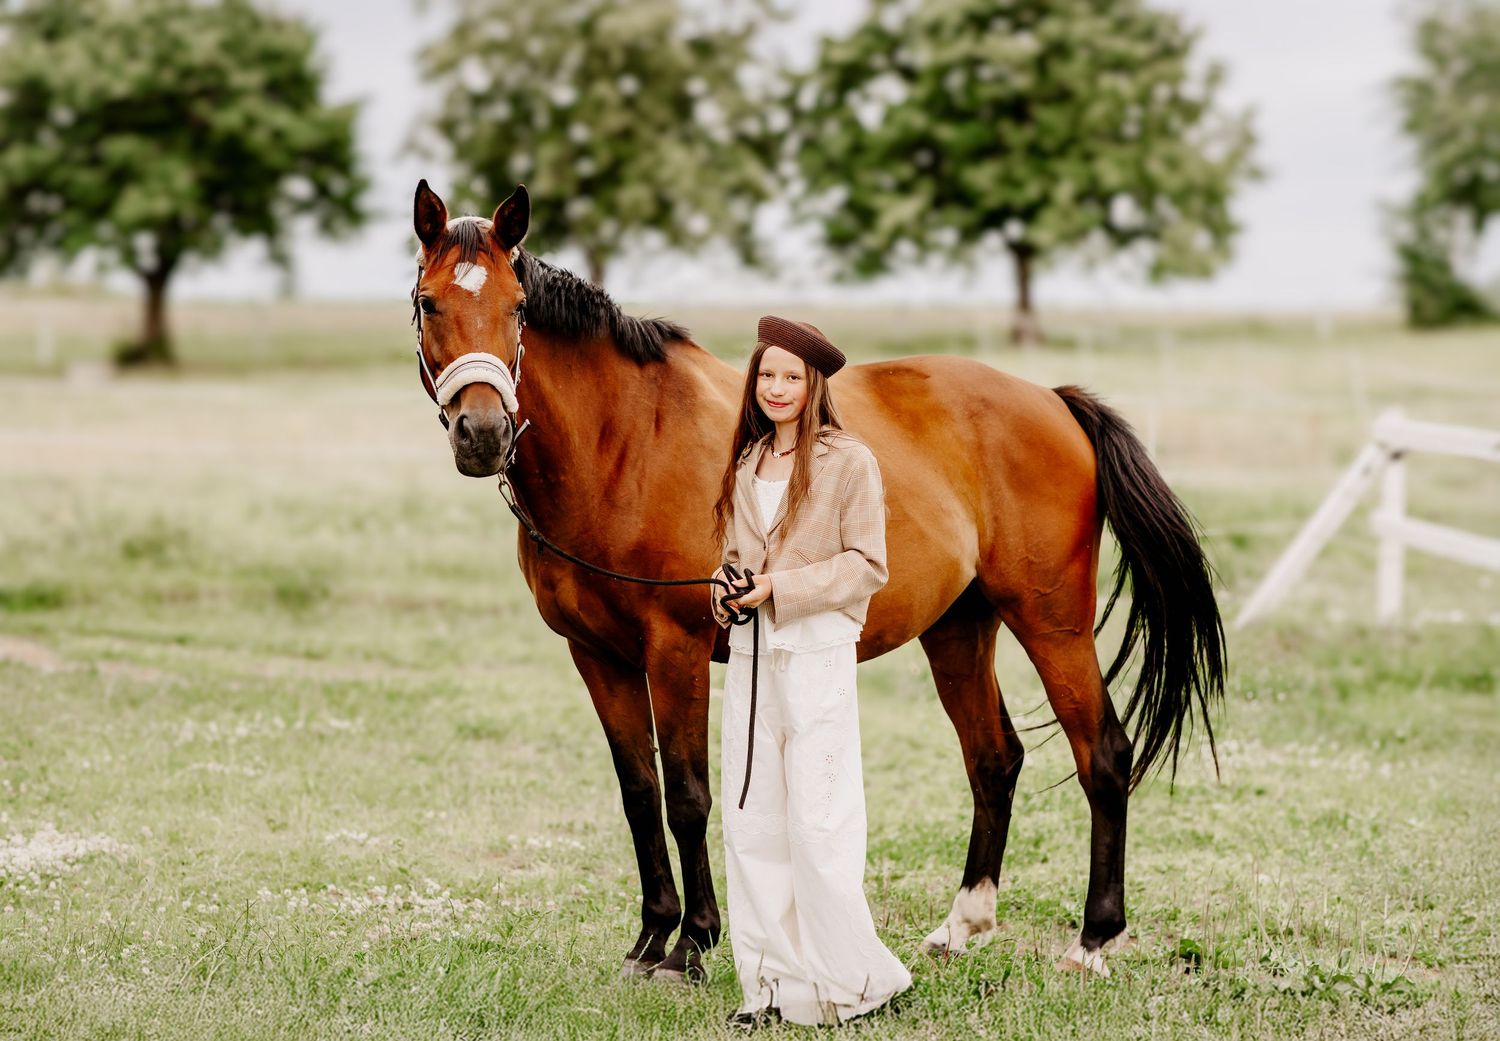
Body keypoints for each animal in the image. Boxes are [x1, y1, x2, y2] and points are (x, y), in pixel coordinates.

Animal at [409, 180, 1225, 981]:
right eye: (428, 303)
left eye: (517, 307)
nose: (482, 434)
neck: (624, 441)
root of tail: (1054, 401)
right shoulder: (597, 655)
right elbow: (640, 795)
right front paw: (649, 938)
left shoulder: (675, 650)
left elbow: (688, 797)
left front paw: (692, 944)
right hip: (959, 628)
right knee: (995, 759)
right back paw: (962, 925)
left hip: (1051, 623)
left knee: (1103, 755)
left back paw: (1094, 938)